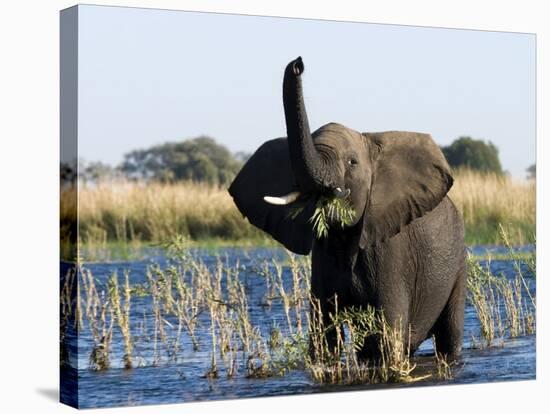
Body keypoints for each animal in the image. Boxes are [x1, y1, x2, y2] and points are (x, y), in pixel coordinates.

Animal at [231, 56, 468, 360]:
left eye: (352, 163)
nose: (298, 63)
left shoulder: (391, 251)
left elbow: (387, 337)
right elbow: (323, 338)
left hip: (458, 263)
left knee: (448, 335)